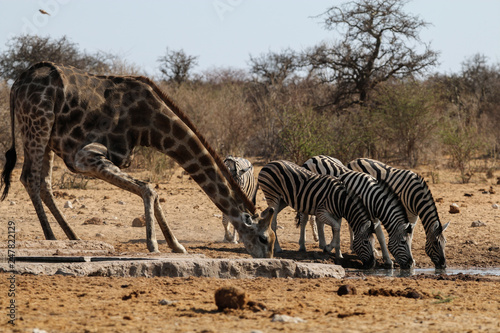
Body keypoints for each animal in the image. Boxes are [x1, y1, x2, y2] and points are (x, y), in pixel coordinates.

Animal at [0, 62, 276, 258]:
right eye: (264, 238)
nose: (268, 258)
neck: (148, 125)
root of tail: (17, 83)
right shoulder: (85, 156)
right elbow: (149, 188)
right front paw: (153, 244)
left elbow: (153, 190)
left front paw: (176, 245)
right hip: (38, 123)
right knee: (30, 178)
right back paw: (52, 238)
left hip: (46, 136)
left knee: (43, 183)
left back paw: (73, 237)